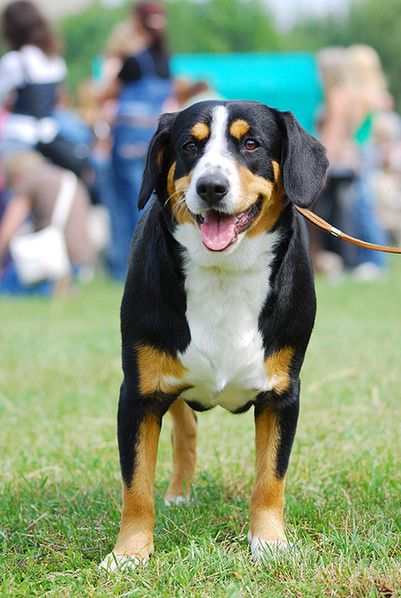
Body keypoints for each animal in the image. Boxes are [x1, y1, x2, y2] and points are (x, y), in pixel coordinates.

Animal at [98, 101, 326, 576]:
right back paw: (179, 493)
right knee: (185, 432)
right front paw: (129, 551)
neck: (225, 275)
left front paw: (270, 542)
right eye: (190, 146)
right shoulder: (139, 393)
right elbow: (136, 484)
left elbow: (270, 477)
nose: (211, 186)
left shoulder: (282, 394)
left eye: (251, 143)